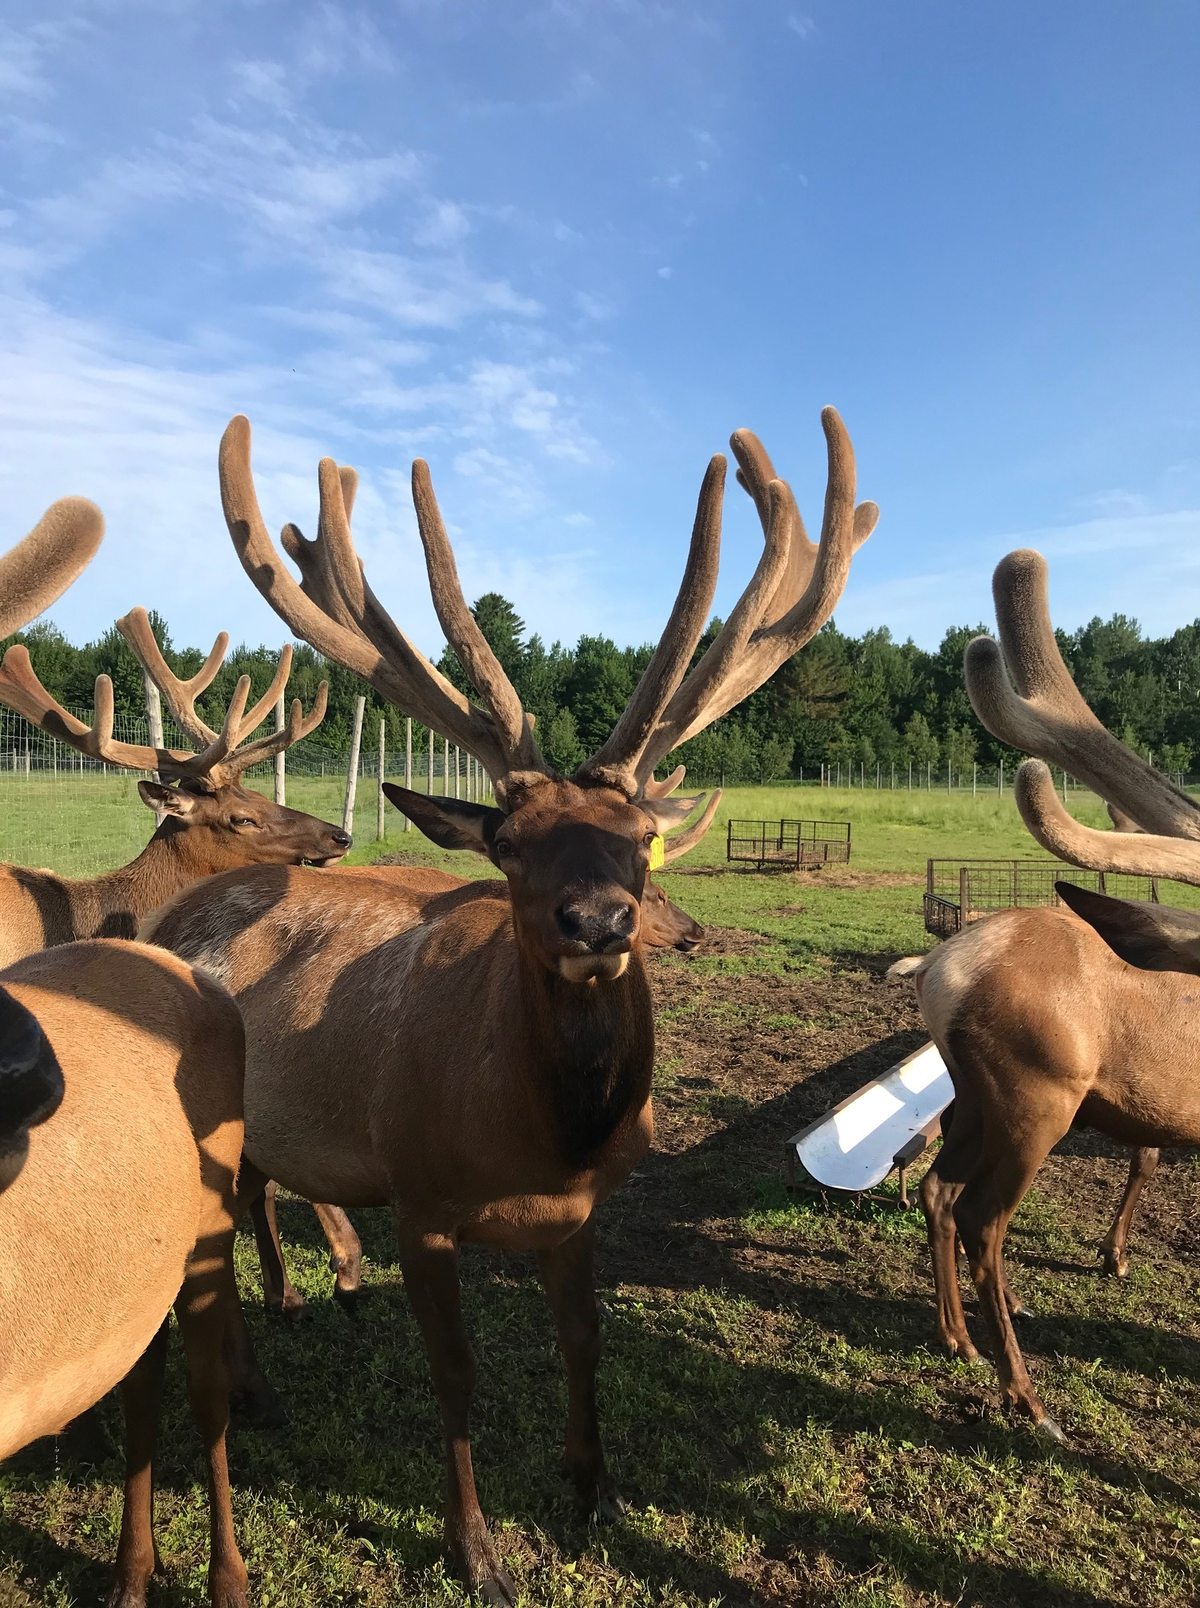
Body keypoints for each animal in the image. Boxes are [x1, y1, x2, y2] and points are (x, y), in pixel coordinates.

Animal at [139, 405, 876, 1602]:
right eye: (513, 845)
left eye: (641, 840)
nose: (600, 923)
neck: (542, 1141)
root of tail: (165, 913)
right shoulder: (421, 1200)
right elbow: (457, 1372)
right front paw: (473, 1545)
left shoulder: (581, 1213)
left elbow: (585, 1342)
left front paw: (594, 1491)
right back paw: (255, 1384)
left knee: (254, 1202)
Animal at [906, 546, 1200, 1443]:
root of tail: (936, 970)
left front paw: (1115, 1255)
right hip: (1036, 1098)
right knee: (981, 1218)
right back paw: (1027, 1397)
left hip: (976, 1095)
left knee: (936, 1188)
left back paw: (959, 1341)